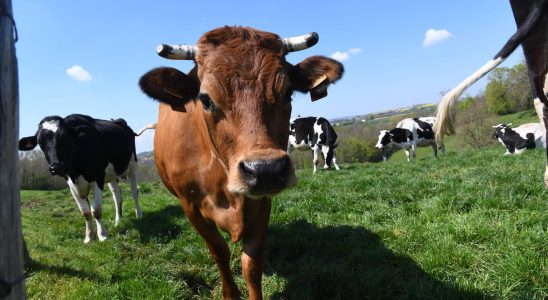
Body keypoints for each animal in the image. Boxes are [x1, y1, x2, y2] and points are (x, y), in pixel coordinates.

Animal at [19, 113, 155, 243]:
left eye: (65, 138)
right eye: (41, 143)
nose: (56, 167)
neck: (76, 171)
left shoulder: (97, 178)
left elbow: (96, 210)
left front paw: (102, 235)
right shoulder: (71, 185)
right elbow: (85, 212)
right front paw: (89, 237)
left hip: (133, 165)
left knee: (134, 192)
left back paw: (139, 215)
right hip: (111, 175)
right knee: (117, 195)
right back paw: (118, 221)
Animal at [137, 27, 342, 298]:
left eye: (288, 92)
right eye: (205, 100)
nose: (266, 170)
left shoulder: (263, 201)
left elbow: (251, 263)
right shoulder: (189, 206)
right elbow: (219, 251)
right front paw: (230, 293)